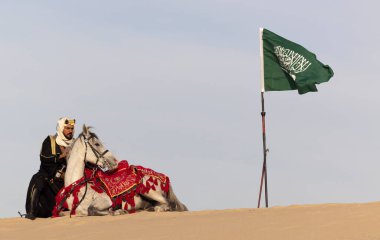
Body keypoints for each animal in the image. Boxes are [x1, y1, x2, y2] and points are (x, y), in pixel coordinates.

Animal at [57, 124, 187, 217]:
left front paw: (117, 211)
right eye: (97, 144)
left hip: (148, 190)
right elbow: (64, 213)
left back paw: (157, 208)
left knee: (169, 204)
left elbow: (91, 210)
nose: (114, 160)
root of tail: (163, 177)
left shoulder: (105, 201)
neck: (78, 187)